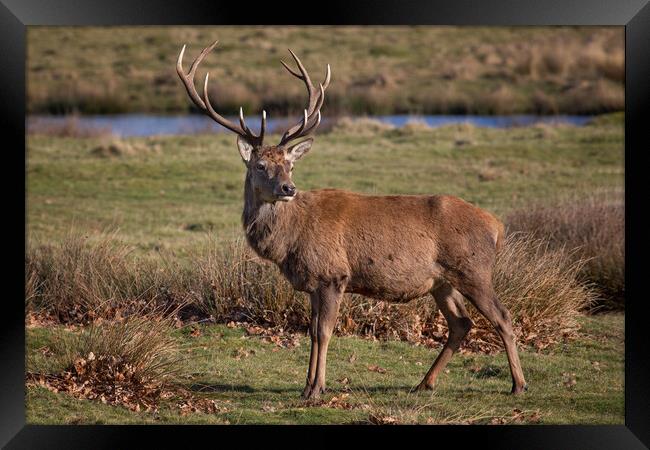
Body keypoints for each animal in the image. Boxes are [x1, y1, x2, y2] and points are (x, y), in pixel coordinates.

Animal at [177, 41, 528, 400]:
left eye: (290, 165)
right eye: (260, 165)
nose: (289, 188)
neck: (290, 242)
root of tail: (496, 226)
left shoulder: (334, 274)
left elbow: (324, 332)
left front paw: (317, 389)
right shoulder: (313, 282)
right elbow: (311, 331)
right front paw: (306, 386)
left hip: (473, 270)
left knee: (503, 317)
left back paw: (518, 384)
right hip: (442, 281)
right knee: (461, 323)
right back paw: (424, 383)